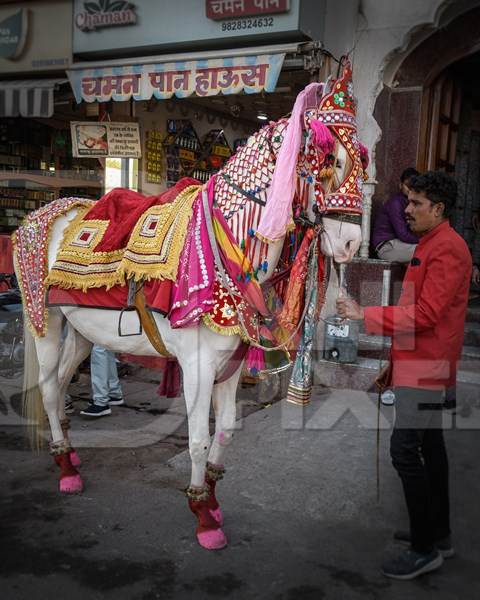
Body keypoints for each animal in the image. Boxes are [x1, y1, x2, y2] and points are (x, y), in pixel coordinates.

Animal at [17, 65, 364, 548]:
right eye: (331, 160)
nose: (351, 242)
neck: (225, 240)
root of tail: (44, 213)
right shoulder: (196, 366)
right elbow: (198, 439)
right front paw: (202, 515)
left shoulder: (230, 365)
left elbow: (227, 430)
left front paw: (213, 502)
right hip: (44, 321)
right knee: (50, 391)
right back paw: (67, 471)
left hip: (83, 332)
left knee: (65, 381)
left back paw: (67, 455)